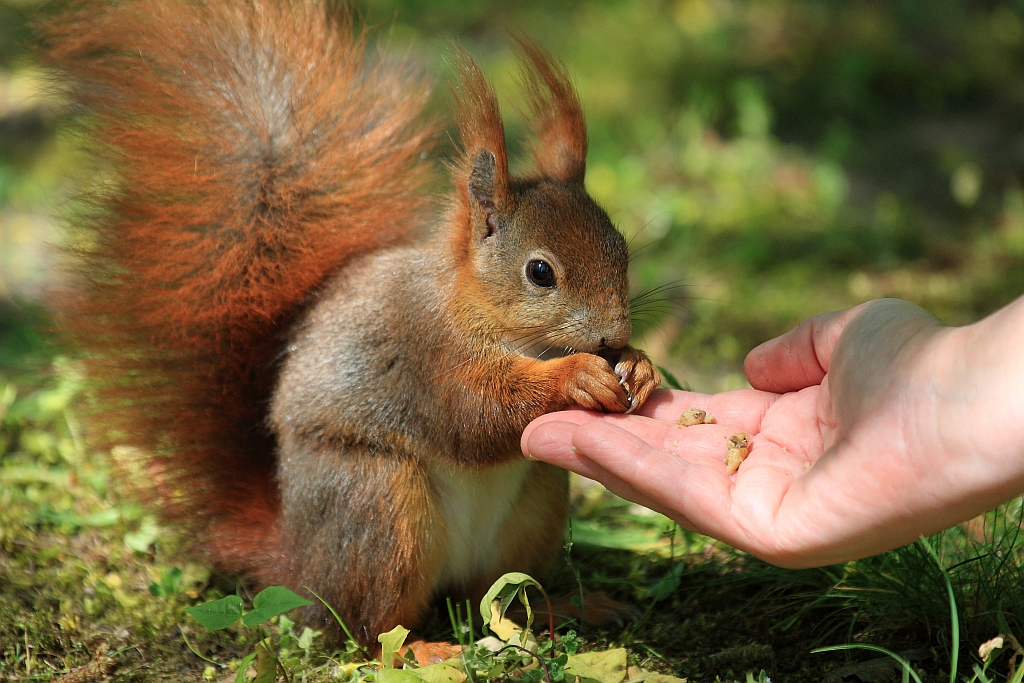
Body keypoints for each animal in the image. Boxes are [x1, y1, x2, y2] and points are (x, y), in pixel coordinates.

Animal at [44, 0, 659, 647]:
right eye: (540, 272)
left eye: (621, 250)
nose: (613, 336)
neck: (502, 324)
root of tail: (299, 570)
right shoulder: (424, 351)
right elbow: (474, 413)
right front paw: (576, 377)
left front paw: (640, 367)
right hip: (378, 505)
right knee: (374, 630)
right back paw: (425, 651)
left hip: (534, 506)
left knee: (487, 602)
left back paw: (561, 609)